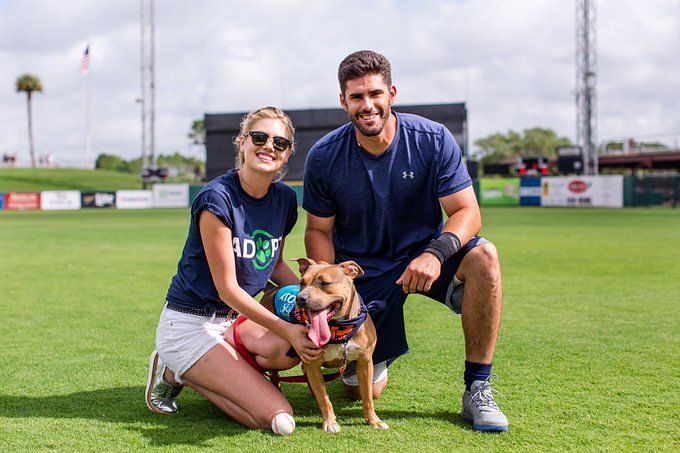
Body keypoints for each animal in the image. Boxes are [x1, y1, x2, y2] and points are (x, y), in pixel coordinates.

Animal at [260, 258, 388, 430]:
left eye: (325, 283)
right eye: (302, 282)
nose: (300, 298)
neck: (339, 328)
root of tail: (271, 290)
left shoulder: (365, 362)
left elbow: (367, 395)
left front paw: (374, 420)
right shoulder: (313, 363)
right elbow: (324, 398)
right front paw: (330, 423)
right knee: (275, 374)